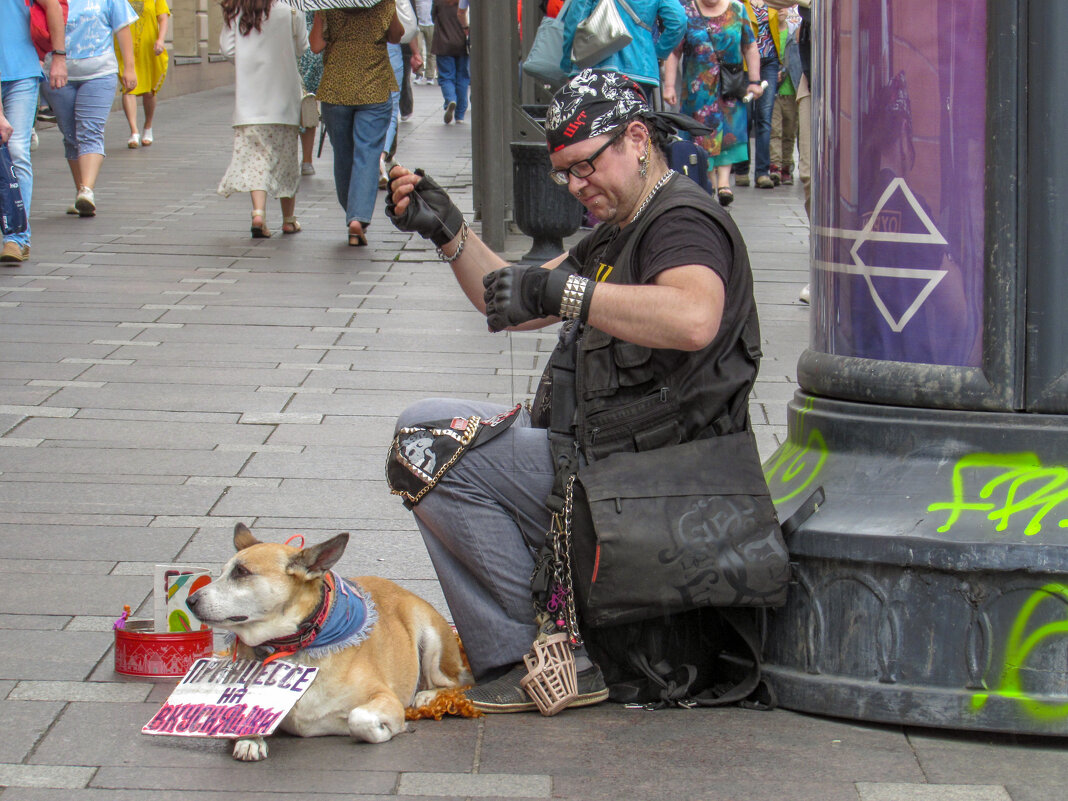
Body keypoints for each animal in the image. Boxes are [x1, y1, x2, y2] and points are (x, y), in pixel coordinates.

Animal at [185, 523, 469, 760]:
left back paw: (428, 696)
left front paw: (386, 730)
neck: (293, 645)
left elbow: (359, 717)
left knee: (453, 682)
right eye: (222, 572)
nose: (190, 600)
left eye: (242, 572)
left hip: (431, 637)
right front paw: (250, 739)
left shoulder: (384, 697)